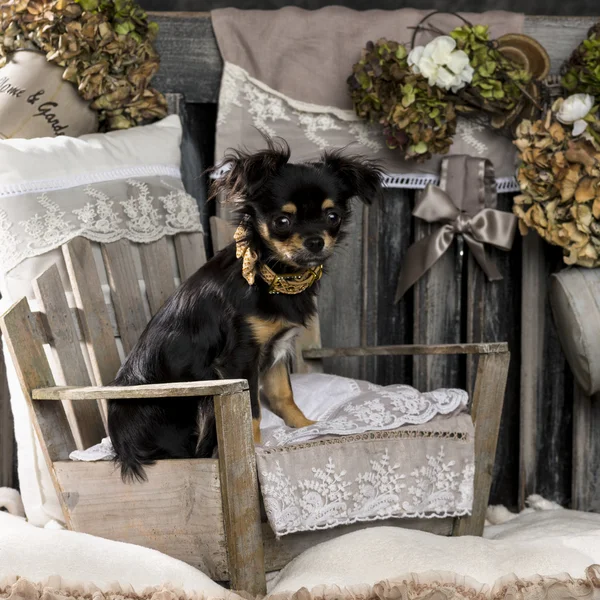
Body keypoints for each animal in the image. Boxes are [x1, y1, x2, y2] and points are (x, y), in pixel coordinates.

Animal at [106, 137, 382, 482]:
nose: (315, 241)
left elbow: (283, 395)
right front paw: (254, 449)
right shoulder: (239, 360)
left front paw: (305, 427)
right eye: (282, 221)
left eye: (333, 217)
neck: (271, 276)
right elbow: (251, 411)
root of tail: (122, 447)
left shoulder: (275, 350)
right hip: (197, 399)